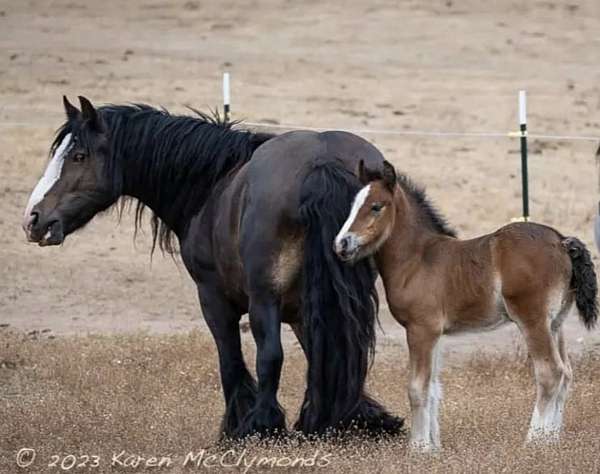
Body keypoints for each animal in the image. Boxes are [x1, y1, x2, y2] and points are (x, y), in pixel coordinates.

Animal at [22, 95, 404, 436]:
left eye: (78, 156)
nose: (33, 219)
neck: (212, 184)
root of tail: (322, 162)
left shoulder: (214, 299)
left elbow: (231, 360)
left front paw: (241, 427)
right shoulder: (306, 307)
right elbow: (323, 352)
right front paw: (343, 418)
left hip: (263, 299)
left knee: (269, 355)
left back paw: (261, 425)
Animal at [336, 160, 596, 452]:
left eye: (376, 206)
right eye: (353, 205)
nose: (341, 244)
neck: (417, 259)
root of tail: (561, 241)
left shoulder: (420, 329)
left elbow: (416, 388)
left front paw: (418, 448)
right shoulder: (435, 333)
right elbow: (433, 387)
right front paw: (434, 448)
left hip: (533, 321)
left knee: (550, 373)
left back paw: (533, 442)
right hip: (556, 323)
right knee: (566, 374)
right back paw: (552, 442)